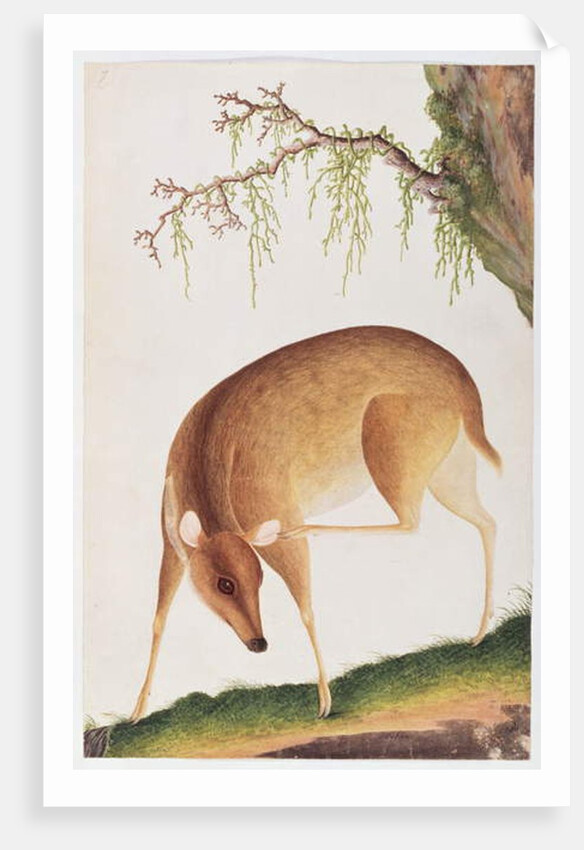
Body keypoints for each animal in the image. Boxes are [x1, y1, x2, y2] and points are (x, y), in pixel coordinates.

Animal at [130, 325, 500, 723]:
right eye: (225, 584)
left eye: (259, 580)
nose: (259, 643)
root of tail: (467, 391)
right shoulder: (171, 544)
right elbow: (159, 618)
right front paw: (136, 711)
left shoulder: (271, 509)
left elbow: (306, 607)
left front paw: (324, 700)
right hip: (449, 465)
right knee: (486, 521)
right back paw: (480, 632)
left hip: (393, 441)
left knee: (410, 521)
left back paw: (310, 529)